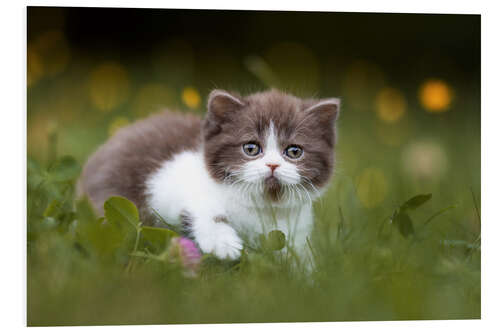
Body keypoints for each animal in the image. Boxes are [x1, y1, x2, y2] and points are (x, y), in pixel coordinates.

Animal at [78, 88, 342, 262]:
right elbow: (204, 210)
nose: (273, 165)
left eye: (294, 151)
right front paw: (223, 244)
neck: (263, 204)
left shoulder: (297, 231)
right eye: (251, 148)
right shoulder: (170, 180)